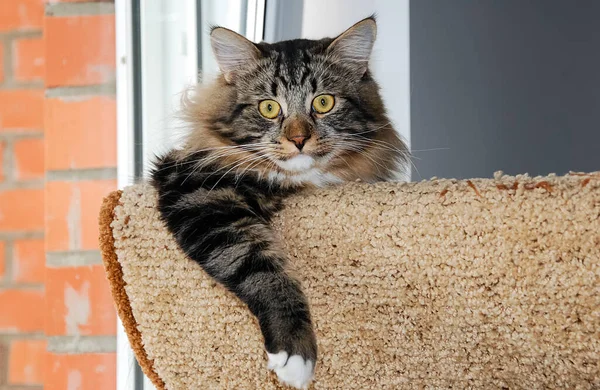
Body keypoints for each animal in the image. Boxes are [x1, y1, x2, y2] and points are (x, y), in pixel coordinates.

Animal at [150, 16, 408, 390]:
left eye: (323, 103)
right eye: (269, 108)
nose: (298, 139)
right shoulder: (198, 192)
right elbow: (265, 272)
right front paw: (295, 353)